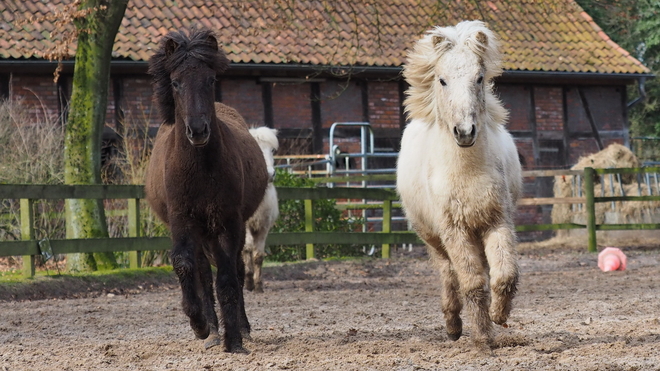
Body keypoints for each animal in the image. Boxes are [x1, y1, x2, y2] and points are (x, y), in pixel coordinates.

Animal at [146, 29, 266, 354]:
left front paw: (234, 339)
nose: (198, 130)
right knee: (202, 271)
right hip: (201, 231)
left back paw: (242, 327)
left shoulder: (228, 222)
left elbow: (227, 278)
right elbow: (185, 265)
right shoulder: (182, 220)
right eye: (176, 82)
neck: (200, 169)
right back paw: (211, 329)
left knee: (236, 268)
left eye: (210, 80)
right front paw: (199, 325)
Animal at [398, 20, 520, 352]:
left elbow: (504, 274)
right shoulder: (455, 229)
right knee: (449, 274)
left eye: (479, 78)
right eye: (442, 80)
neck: (466, 173)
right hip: (435, 239)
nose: (465, 132)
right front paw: (482, 338)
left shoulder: (497, 221)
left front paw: (499, 316)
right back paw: (453, 326)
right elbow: (472, 284)